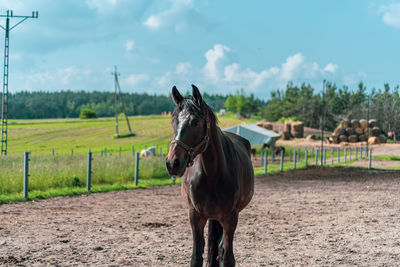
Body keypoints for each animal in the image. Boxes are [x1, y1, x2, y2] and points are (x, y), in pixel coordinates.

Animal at [166, 86, 255, 267]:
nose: (173, 163)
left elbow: (227, 258)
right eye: (173, 121)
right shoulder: (195, 216)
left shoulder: (230, 218)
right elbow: (196, 257)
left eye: (195, 122)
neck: (213, 175)